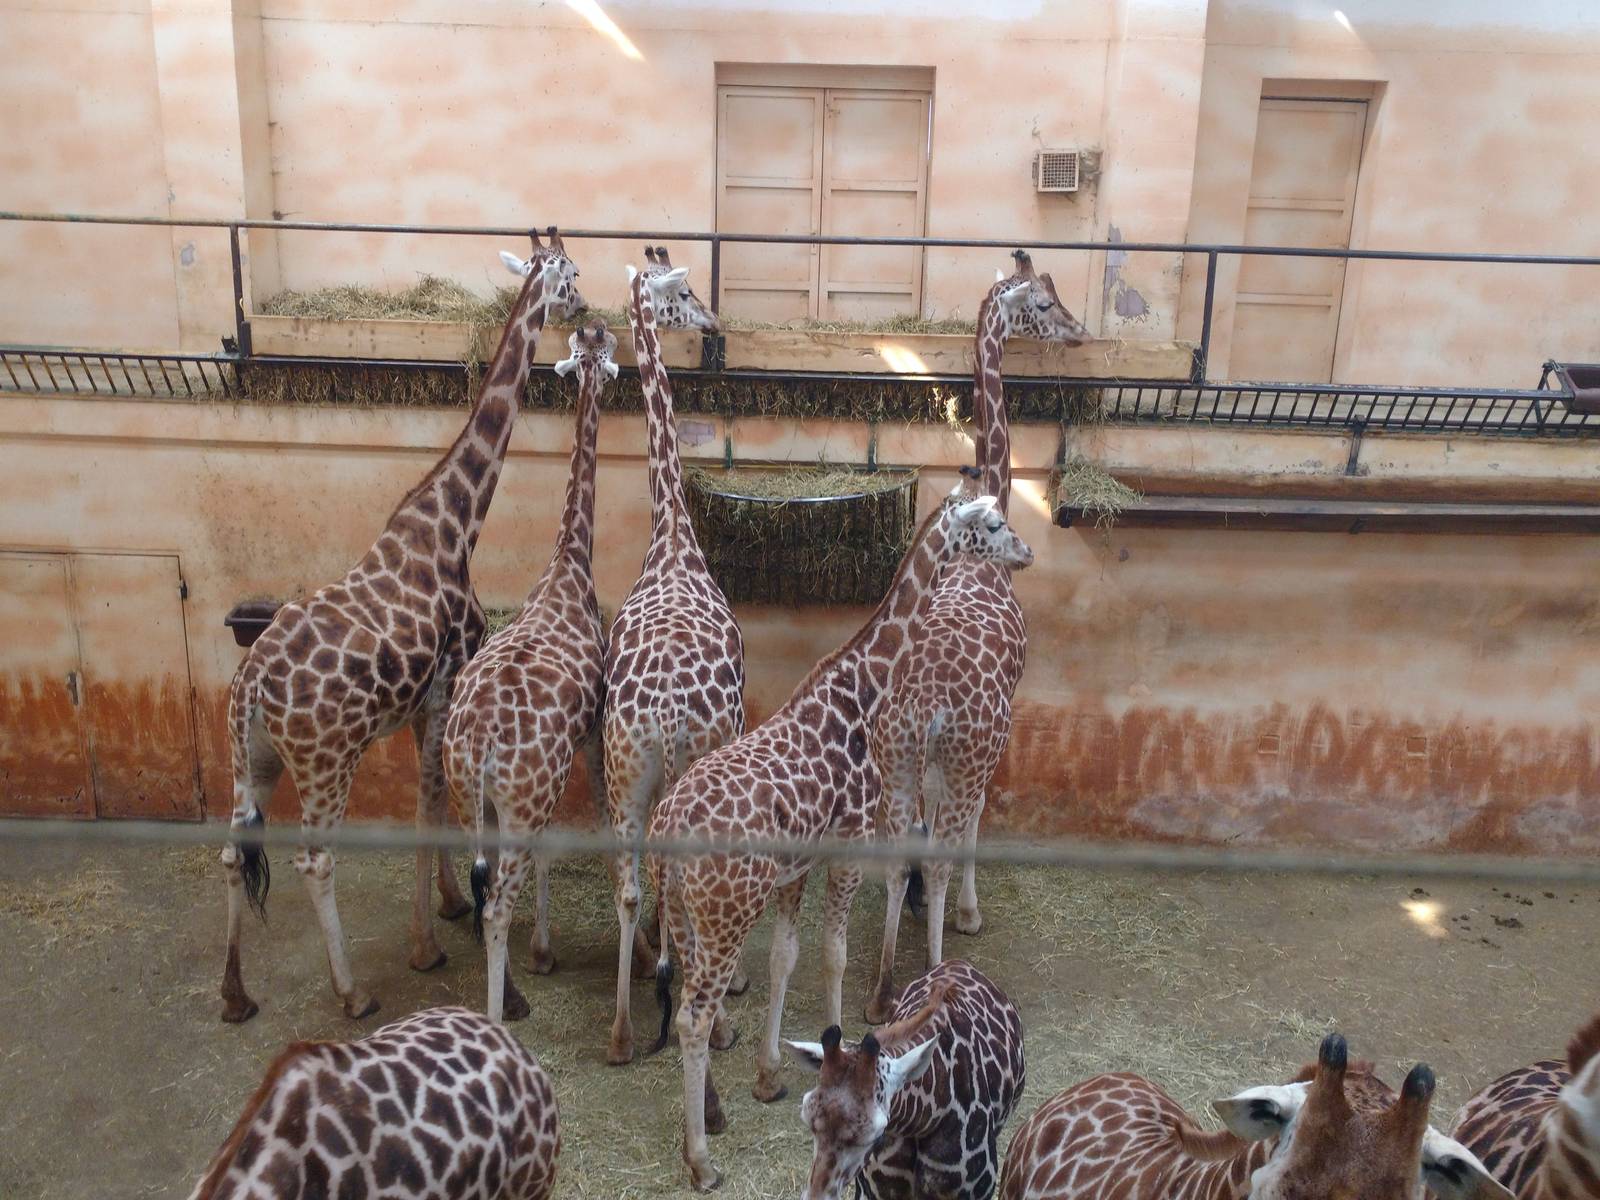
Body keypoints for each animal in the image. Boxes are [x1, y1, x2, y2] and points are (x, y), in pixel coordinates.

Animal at [218, 229, 585, 1023]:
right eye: (571, 274)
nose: (585, 307)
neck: (454, 522)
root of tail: (253, 684)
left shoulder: (424, 703)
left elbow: (434, 800)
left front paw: (446, 906)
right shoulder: (447, 681)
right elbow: (429, 801)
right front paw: (427, 943)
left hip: (250, 756)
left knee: (234, 849)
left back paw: (234, 993)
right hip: (325, 761)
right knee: (313, 858)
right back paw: (351, 992)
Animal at [783, 958, 1025, 1200]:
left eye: (875, 1134)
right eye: (808, 1120)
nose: (816, 1195)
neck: (924, 1120)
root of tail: (959, 962)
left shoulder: (977, 1191)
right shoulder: (873, 1191)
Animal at [866, 250, 1089, 1023]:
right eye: (1044, 306)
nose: (1079, 331)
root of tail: (926, 706)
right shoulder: (997, 739)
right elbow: (970, 830)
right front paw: (966, 912)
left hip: (899, 758)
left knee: (898, 848)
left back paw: (881, 989)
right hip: (960, 754)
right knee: (938, 845)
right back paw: (939, 966)